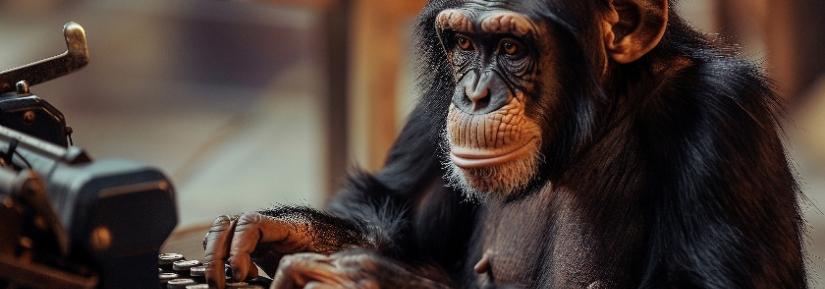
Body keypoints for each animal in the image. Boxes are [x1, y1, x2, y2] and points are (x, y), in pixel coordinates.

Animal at [200, 1, 804, 286]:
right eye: (464, 43)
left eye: (513, 47)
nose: (473, 93)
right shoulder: (434, 104)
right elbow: (393, 209)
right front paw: (279, 230)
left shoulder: (725, 114)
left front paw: (374, 280)